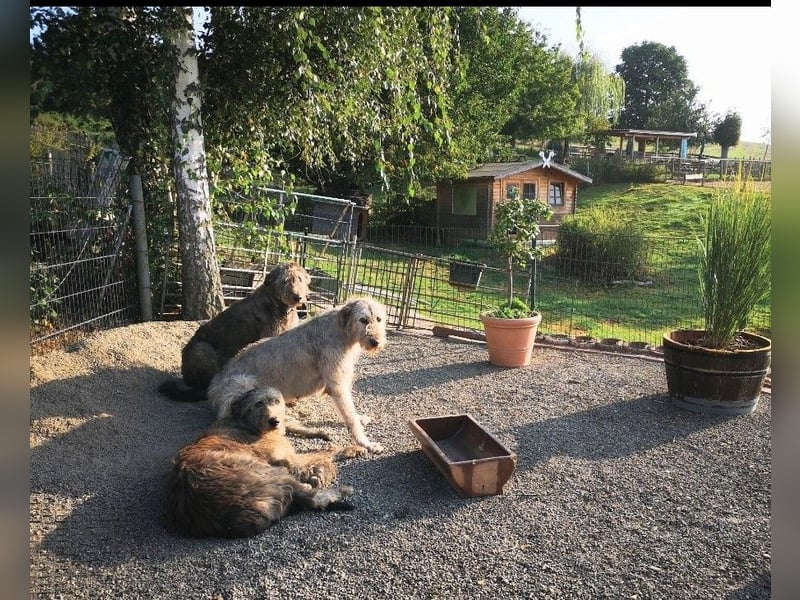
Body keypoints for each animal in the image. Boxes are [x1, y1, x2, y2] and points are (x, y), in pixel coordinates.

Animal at [160, 386, 366, 540]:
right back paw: (337, 490)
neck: (245, 423)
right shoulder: (288, 460)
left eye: (276, 401)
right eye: (258, 404)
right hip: (271, 474)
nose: (275, 421)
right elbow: (325, 453)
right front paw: (350, 450)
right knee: (313, 498)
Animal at [206, 298, 388, 452]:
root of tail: (212, 386)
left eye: (379, 319)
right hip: (246, 386)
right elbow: (350, 417)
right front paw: (365, 442)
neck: (342, 329)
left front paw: (360, 418)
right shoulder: (336, 385)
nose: (376, 342)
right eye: (363, 320)